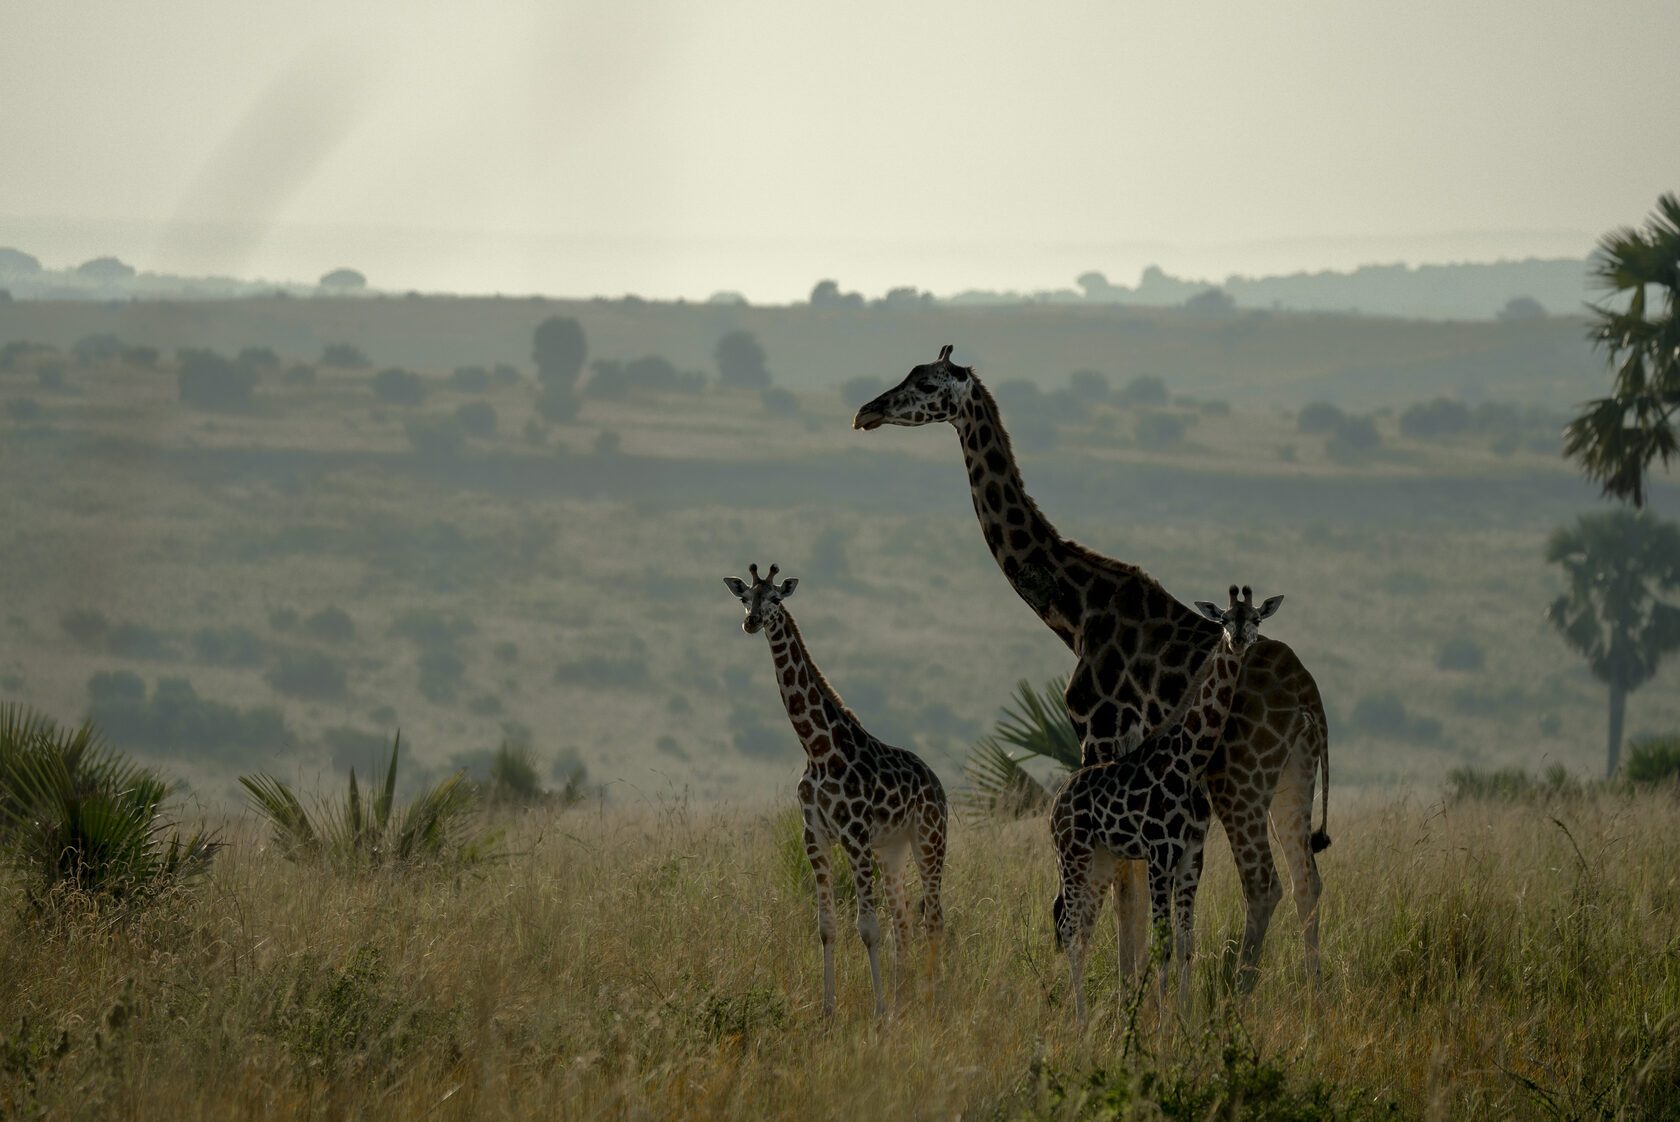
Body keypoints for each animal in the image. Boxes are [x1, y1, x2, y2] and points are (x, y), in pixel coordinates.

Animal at [723, 563, 948, 1017]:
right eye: (745, 597)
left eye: (775, 598)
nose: (751, 622)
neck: (818, 748)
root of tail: (938, 785)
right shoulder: (816, 836)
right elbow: (827, 926)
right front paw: (828, 1010)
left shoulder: (855, 835)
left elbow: (866, 927)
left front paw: (879, 1013)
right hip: (892, 850)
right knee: (903, 921)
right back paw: (904, 997)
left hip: (929, 840)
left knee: (932, 918)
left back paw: (929, 1002)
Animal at [1053, 585, 1280, 1025]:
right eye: (1224, 618)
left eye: (1256, 618)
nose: (1239, 639)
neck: (1190, 760)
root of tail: (1056, 803)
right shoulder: (1160, 853)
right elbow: (1163, 943)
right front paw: (1159, 1024)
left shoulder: (1192, 854)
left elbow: (1187, 941)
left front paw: (1184, 1021)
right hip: (1073, 856)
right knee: (1070, 931)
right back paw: (1080, 1022)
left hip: (1101, 859)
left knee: (1083, 929)